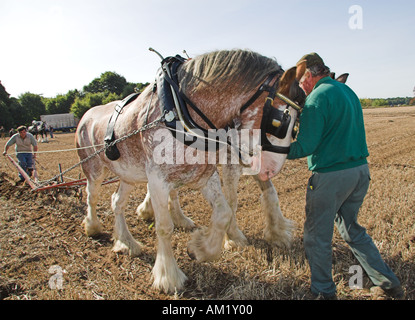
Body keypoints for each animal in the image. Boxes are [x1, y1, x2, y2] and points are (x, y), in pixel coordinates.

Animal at [75, 49, 302, 292]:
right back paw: (93, 226)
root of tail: (86, 115)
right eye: (280, 123)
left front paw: (201, 248)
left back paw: (126, 242)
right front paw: (168, 276)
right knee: (92, 196)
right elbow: (164, 227)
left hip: (128, 174)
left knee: (117, 202)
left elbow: (225, 211)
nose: (272, 168)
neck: (179, 111)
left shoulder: (206, 174)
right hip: (93, 168)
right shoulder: (158, 179)